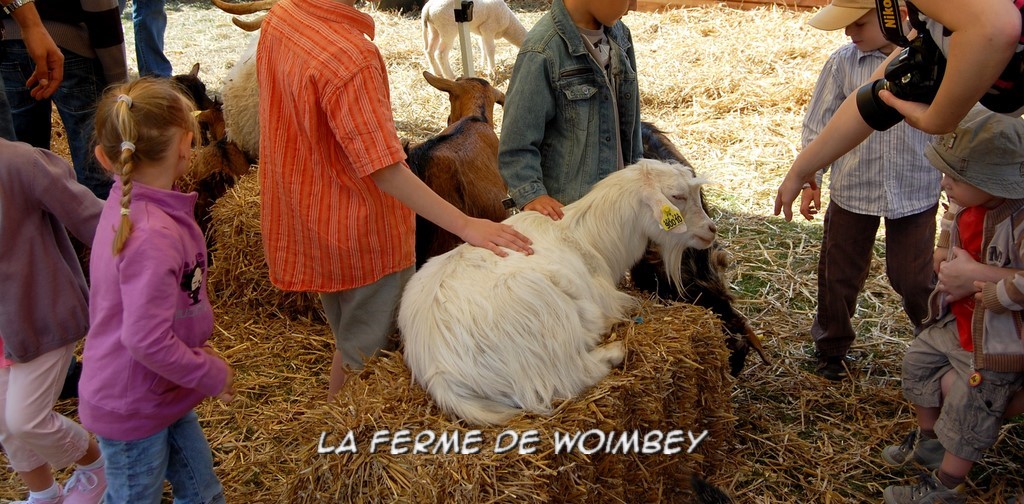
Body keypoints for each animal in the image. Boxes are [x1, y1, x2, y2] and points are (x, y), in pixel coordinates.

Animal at [395, 158, 716, 426]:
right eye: (677, 196)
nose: (711, 230)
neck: (589, 237)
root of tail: (438, 369)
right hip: (548, 317)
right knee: (574, 375)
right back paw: (613, 351)